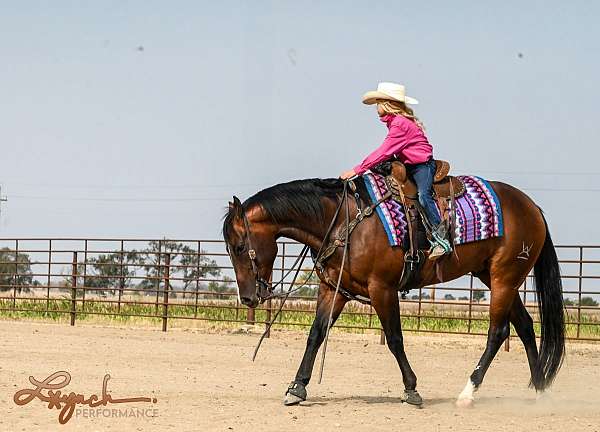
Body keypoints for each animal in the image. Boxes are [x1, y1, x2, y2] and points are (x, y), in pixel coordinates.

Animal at [223, 176, 564, 404]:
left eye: (239, 247)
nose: (248, 298)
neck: (344, 221)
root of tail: (532, 207)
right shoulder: (334, 289)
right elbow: (316, 335)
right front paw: (297, 387)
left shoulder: (382, 289)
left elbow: (395, 339)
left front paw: (411, 389)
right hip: (493, 276)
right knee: (525, 326)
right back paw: (539, 389)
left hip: (504, 277)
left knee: (498, 332)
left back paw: (468, 392)